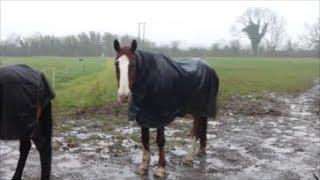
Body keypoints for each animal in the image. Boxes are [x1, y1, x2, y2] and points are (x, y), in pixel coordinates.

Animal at [113, 39, 220, 177]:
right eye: (116, 64)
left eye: (134, 64)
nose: (123, 95)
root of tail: (209, 67)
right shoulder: (143, 117)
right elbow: (144, 139)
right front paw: (143, 167)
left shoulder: (161, 117)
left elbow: (160, 141)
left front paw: (161, 169)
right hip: (199, 110)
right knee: (201, 129)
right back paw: (200, 151)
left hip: (199, 110)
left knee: (196, 131)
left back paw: (189, 158)